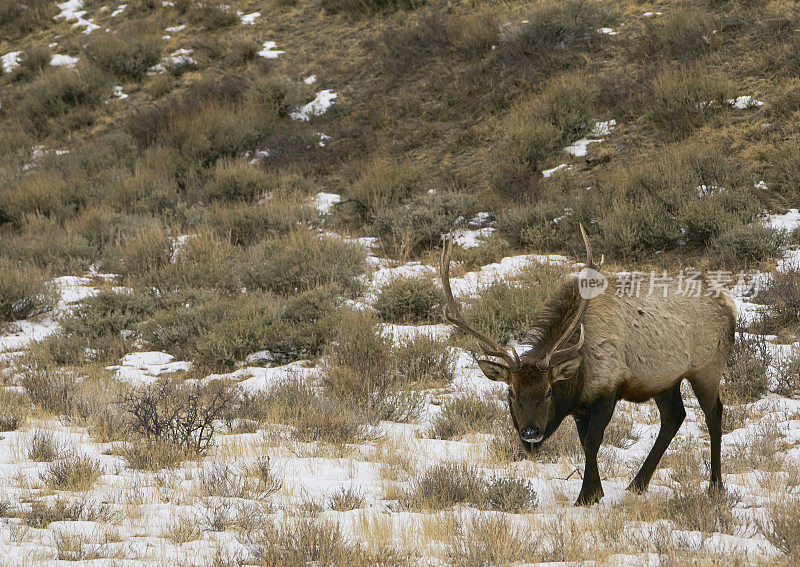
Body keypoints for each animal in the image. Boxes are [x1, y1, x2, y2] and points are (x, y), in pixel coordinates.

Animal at [444, 226, 736, 506]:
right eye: (511, 392)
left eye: (548, 391)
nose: (530, 432)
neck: (580, 376)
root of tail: (730, 304)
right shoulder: (581, 406)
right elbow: (584, 443)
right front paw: (596, 492)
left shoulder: (609, 388)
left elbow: (593, 441)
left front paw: (586, 496)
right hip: (664, 379)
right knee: (674, 417)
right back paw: (637, 485)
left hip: (707, 368)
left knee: (714, 415)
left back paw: (715, 485)